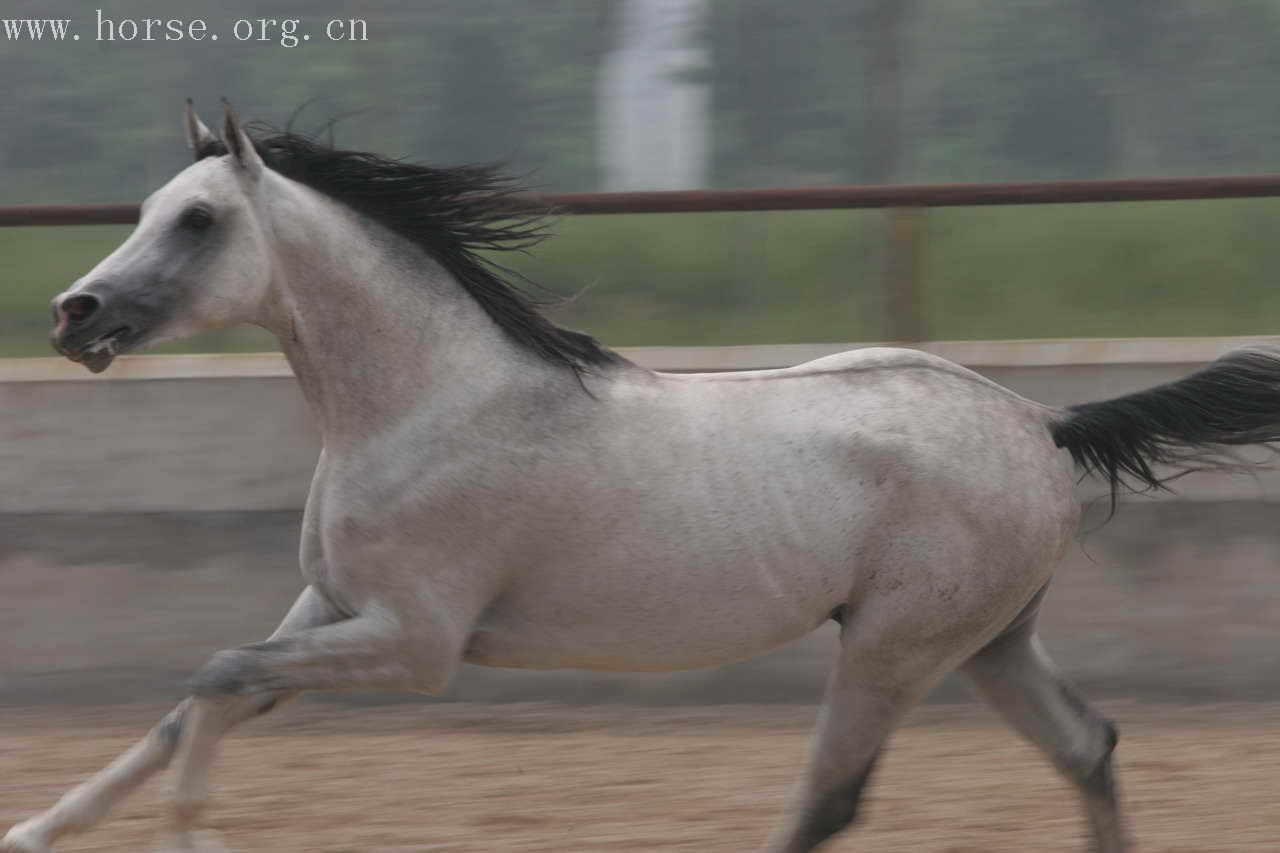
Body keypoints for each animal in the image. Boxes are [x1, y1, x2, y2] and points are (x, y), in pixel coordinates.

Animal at [7, 101, 1280, 850]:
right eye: (147, 210)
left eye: (199, 221)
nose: (75, 316)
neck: (430, 402)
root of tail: (1039, 420)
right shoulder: (330, 607)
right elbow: (191, 700)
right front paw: (37, 828)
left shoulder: (416, 644)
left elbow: (215, 678)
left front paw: (192, 833)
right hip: (988, 642)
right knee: (1086, 746)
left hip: (894, 645)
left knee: (831, 798)